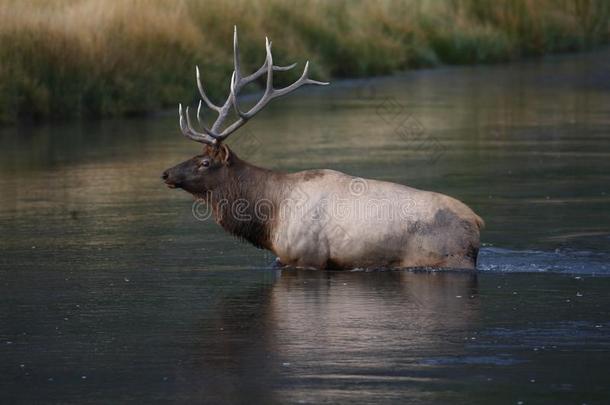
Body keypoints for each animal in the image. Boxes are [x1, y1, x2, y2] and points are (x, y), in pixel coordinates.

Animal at [163, 26, 484, 270]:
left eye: (205, 162)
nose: (166, 173)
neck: (269, 219)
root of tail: (477, 222)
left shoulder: (306, 257)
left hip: (450, 257)